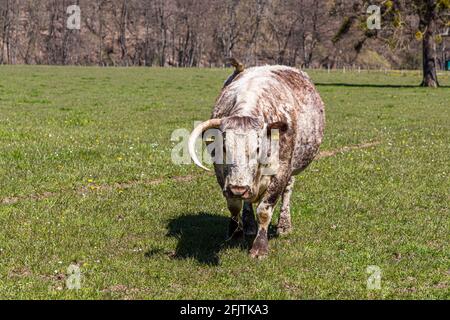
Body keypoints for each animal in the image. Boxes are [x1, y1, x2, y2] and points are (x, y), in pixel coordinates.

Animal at [188, 61, 326, 258]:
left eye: (258, 149)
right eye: (223, 148)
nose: (238, 188)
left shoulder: (281, 172)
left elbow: (264, 210)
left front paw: (260, 248)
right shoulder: (222, 174)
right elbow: (234, 205)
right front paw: (235, 233)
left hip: (292, 169)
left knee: (288, 191)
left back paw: (284, 225)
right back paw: (249, 225)